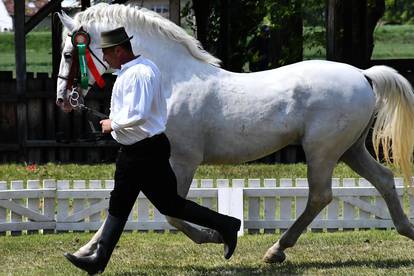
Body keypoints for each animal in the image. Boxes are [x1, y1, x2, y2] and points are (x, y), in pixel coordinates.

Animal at [56, 3, 414, 264]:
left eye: (69, 53)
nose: (63, 99)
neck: (170, 80)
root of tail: (364, 74)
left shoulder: (183, 160)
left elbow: (171, 212)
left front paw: (216, 237)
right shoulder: (157, 162)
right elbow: (125, 203)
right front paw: (85, 251)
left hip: (322, 151)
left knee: (321, 196)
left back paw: (276, 250)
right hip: (350, 149)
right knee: (383, 180)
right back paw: (407, 230)